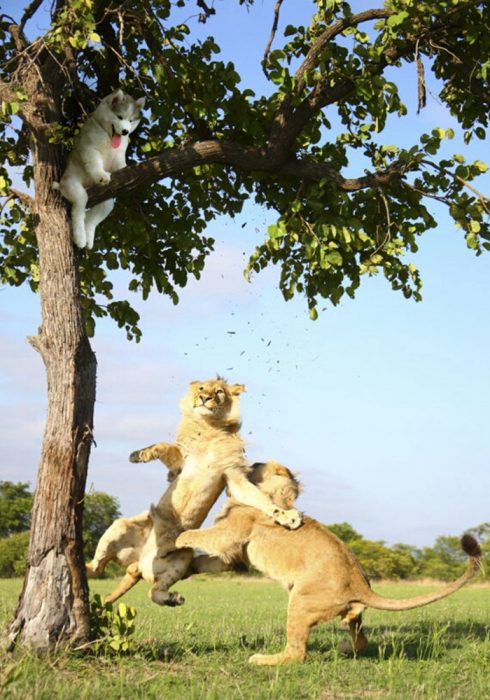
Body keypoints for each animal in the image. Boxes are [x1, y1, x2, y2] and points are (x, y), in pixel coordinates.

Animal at [54, 89, 145, 249]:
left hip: (107, 201)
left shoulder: (119, 157)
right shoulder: (90, 149)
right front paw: (101, 175)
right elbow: (95, 163)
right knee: (79, 207)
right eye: (119, 117)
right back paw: (80, 236)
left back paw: (88, 236)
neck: (108, 136)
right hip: (71, 184)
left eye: (131, 120)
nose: (125, 132)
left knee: (92, 219)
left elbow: (121, 166)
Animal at [87, 378, 302, 608]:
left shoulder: (232, 475)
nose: (205, 398)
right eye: (201, 388)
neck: (210, 429)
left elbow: (259, 498)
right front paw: (137, 454)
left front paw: (288, 516)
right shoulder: (182, 461)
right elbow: (162, 446)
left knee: (153, 591)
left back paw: (173, 598)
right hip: (119, 527)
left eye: (219, 391)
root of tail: (140, 561)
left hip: (181, 558)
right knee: (96, 567)